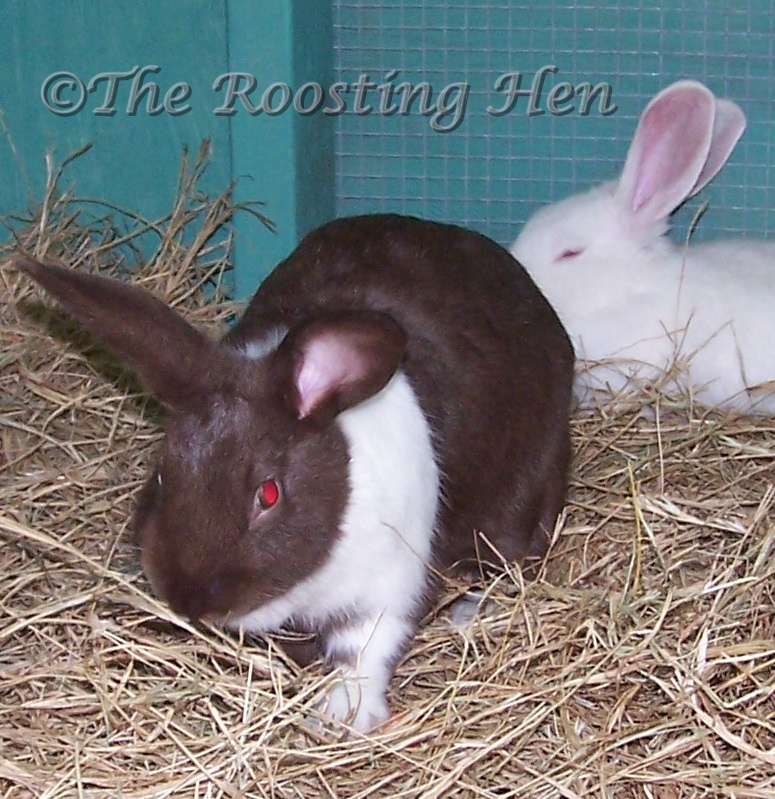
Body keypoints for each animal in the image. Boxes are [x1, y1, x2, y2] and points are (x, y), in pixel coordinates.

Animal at [17, 212, 574, 733]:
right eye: (161, 474)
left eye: (268, 494)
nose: (188, 599)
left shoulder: (390, 584)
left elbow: (364, 650)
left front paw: (343, 717)